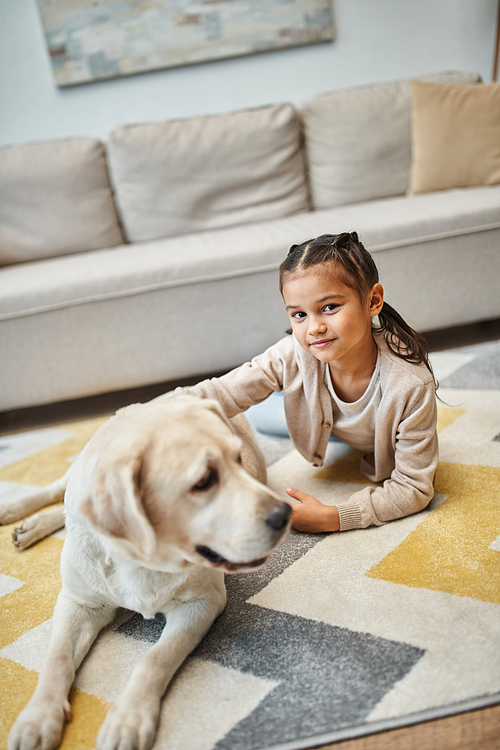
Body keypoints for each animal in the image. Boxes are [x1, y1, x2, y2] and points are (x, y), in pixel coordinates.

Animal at [5, 396, 292, 748]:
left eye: (239, 460)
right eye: (204, 481)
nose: (284, 514)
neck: (140, 559)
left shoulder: (200, 603)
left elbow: (153, 660)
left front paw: (128, 719)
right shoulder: (80, 603)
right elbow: (56, 659)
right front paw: (37, 717)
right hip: (78, 474)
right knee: (57, 491)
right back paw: (19, 514)